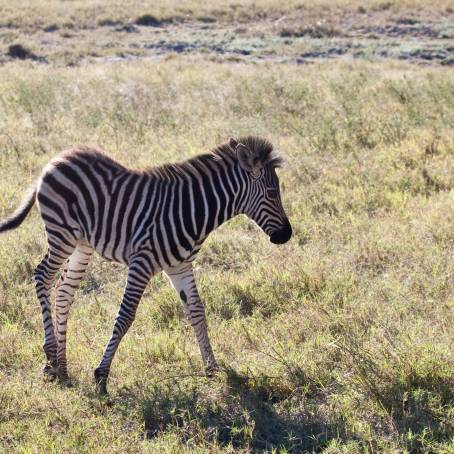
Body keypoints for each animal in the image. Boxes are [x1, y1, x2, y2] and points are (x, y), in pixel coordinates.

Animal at [0, 136, 290, 394]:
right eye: (272, 193)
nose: (287, 235)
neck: (193, 210)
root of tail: (55, 160)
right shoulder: (142, 263)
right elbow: (125, 316)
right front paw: (101, 376)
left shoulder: (180, 266)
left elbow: (197, 312)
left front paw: (213, 370)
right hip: (61, 233)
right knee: (42, 276)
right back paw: (50, 357)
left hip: (82, 243)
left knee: (63, 290)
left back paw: (61, 366)